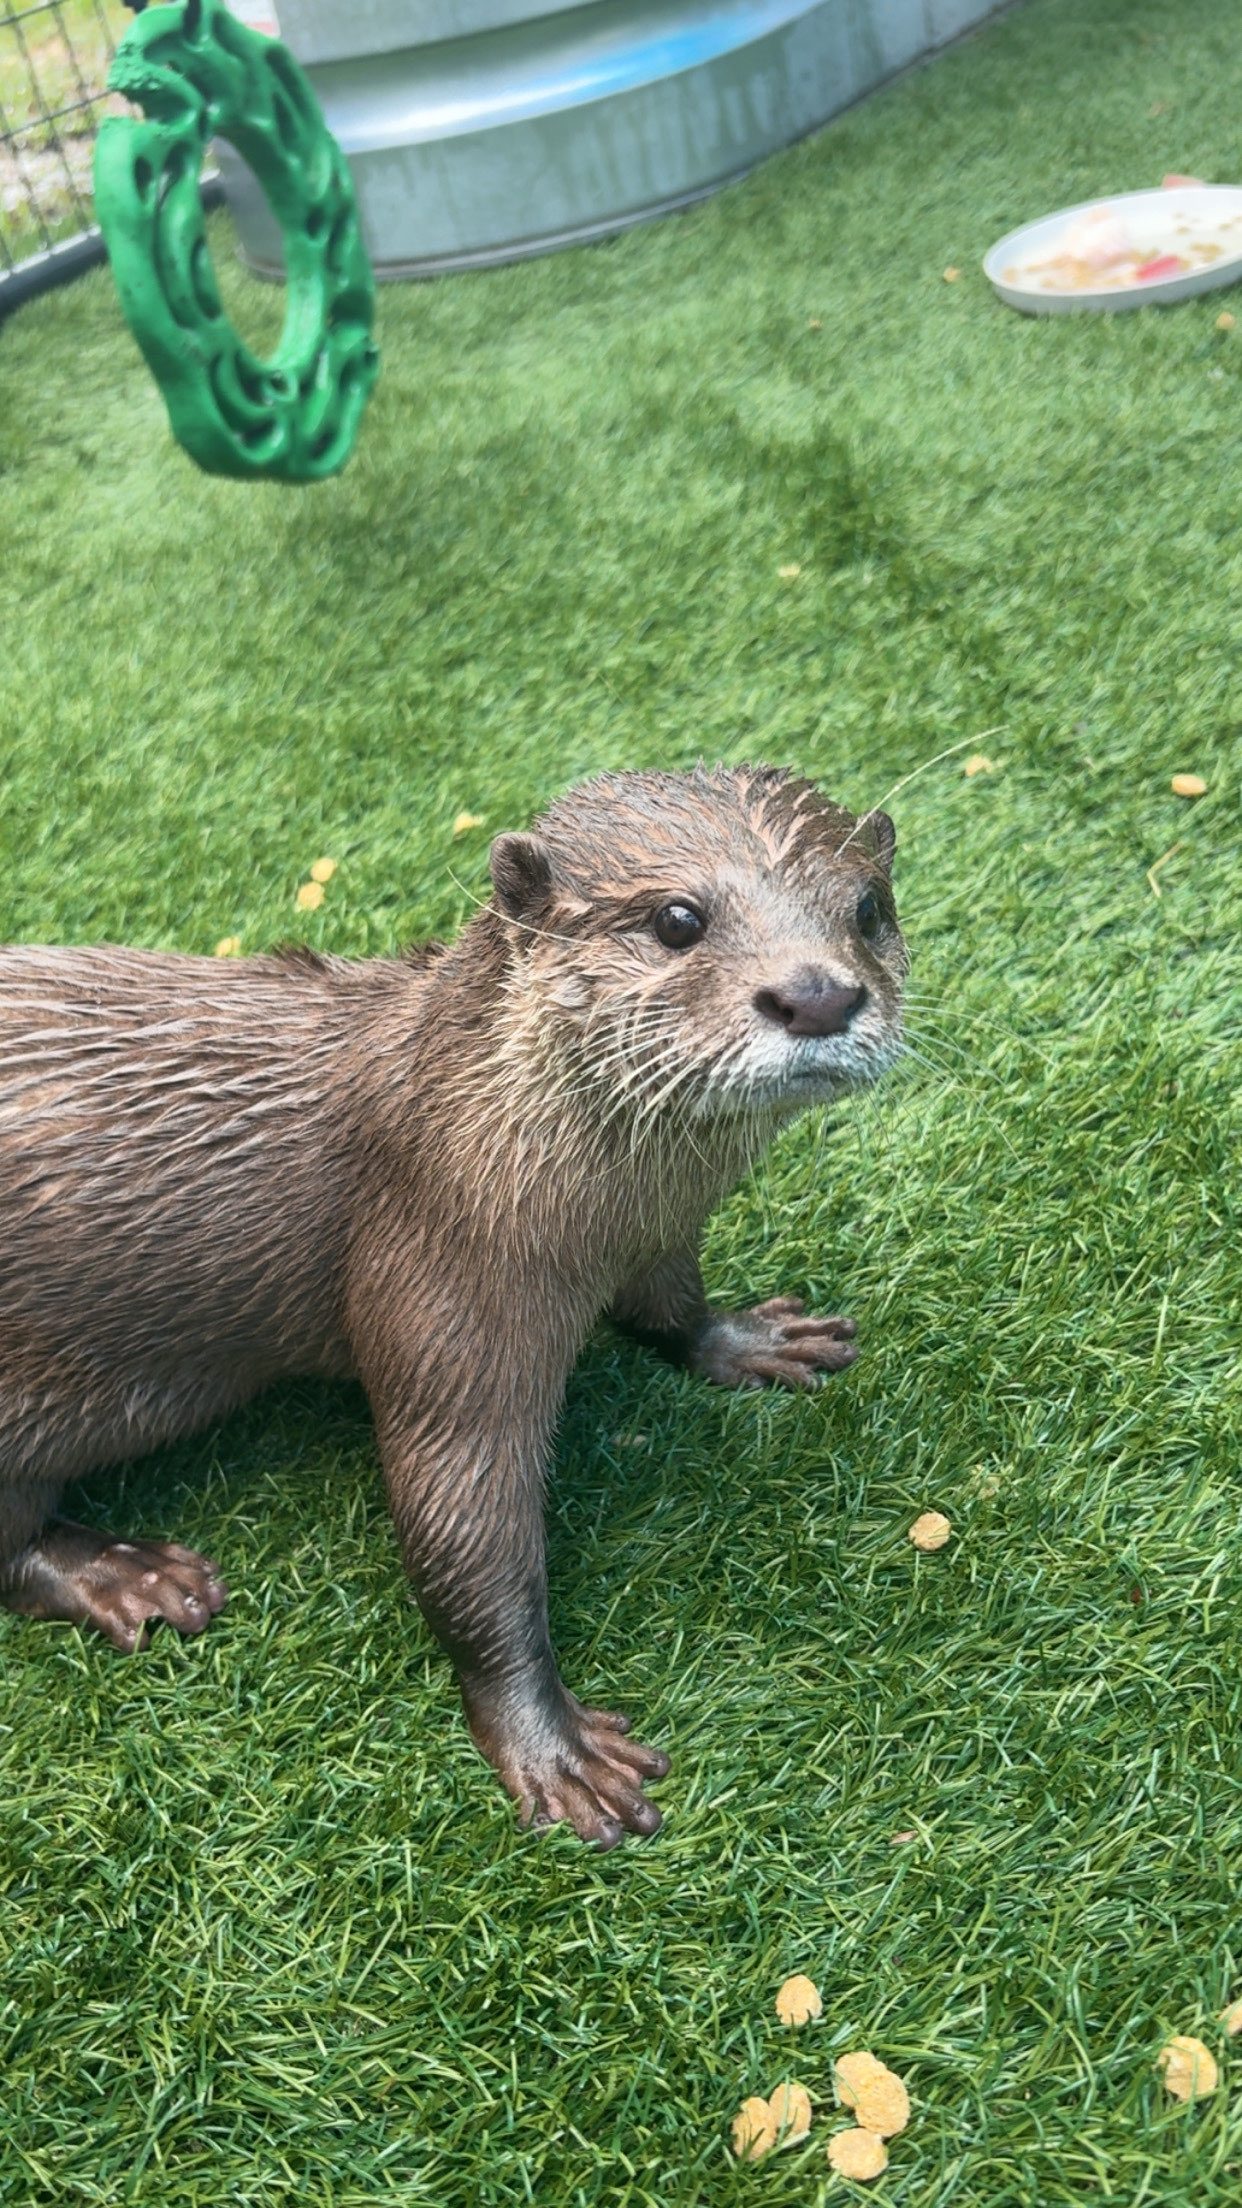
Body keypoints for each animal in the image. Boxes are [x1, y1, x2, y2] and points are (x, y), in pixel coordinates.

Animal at [0, 766, 905, 1847]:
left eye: (869, 908)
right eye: (679, 918)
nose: (817, 993)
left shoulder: (657, 1239)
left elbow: (671, 1309)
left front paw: (751, 1339)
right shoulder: (448, 1270)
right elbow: (463, 1526)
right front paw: (547, 1740)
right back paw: (127, 1574)